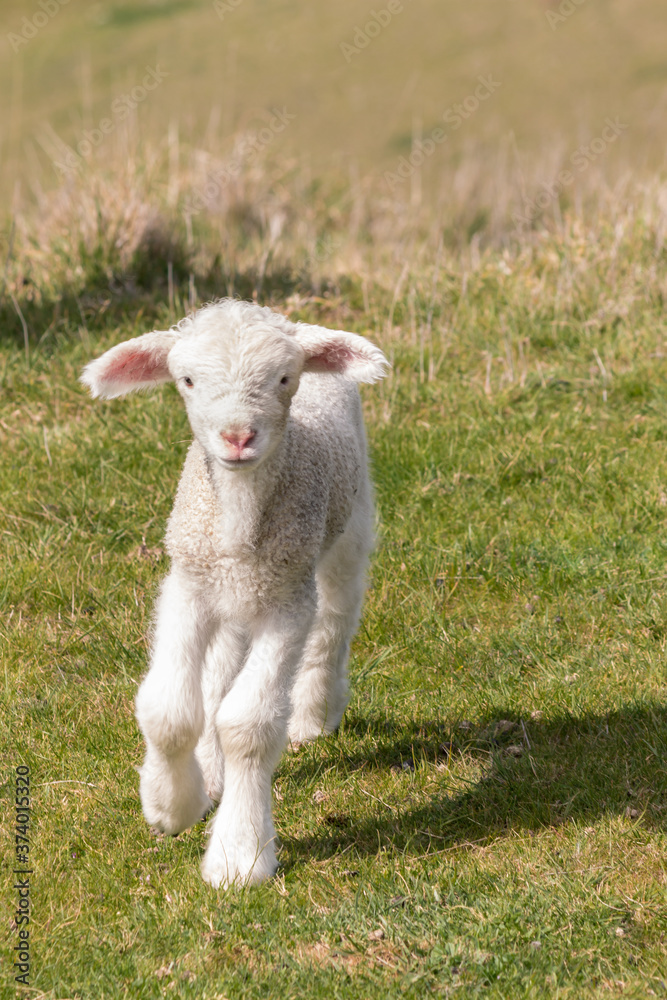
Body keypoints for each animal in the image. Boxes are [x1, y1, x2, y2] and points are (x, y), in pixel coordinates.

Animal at [81, 299, 389, 888]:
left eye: (285, 378)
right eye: (187, 381)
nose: (238, 437)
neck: (239, 523)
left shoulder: (287, 602)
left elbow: (247, 723)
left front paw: (239, 855)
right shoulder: (188, 583)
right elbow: (168, 709)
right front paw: (171, 806)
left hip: (349, 526)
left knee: (335, 618)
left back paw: (315, 712)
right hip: (230, 597)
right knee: (218, 669)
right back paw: (209, 771)